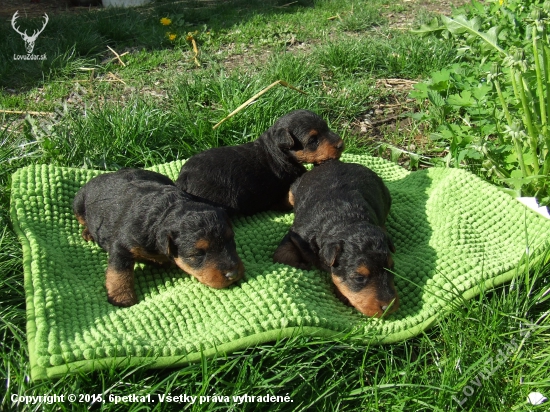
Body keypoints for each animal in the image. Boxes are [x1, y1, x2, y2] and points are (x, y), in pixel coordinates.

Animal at [73, 167, 244, 306]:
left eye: (231, 240)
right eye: (197, 254)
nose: (233, 274)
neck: (163, 212)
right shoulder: (122, 246)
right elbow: (119, 272)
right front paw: (122, 297)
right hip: (78, 203)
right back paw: (88, 232)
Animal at [274, 159, 398, 318]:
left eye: (392, 267)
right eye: (359, 278)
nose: (389, 308)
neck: (345, 218)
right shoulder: (297, 235)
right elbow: (281, 254)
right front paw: (301, 264)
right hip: (293, 189)